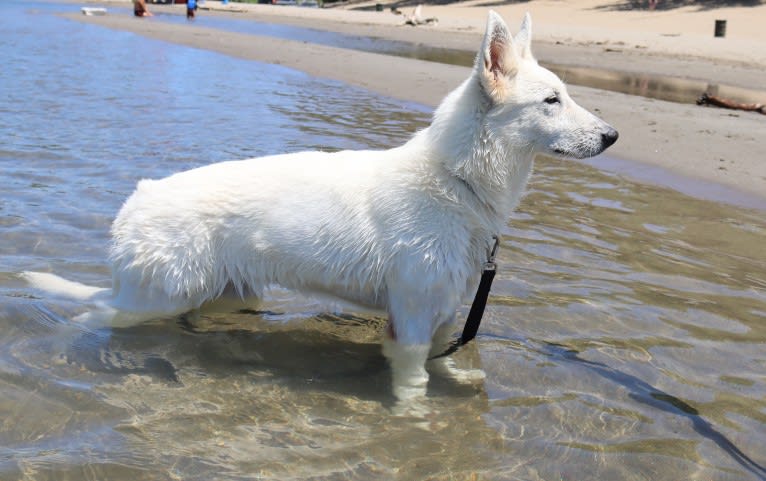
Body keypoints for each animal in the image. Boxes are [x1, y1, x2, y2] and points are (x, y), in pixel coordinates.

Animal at [24, 11, 616, 402]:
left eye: (565, 94)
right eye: (552, 100)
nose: (613, 135)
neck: (457, 180)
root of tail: (136, 200)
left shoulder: (444, 309)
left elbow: (442, 361)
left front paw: (455, 381)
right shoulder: (410, 322)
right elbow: (415, 383)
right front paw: (416, 422)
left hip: (226, 294)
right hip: (159, 297)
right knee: (93, 314)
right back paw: (59, 340)